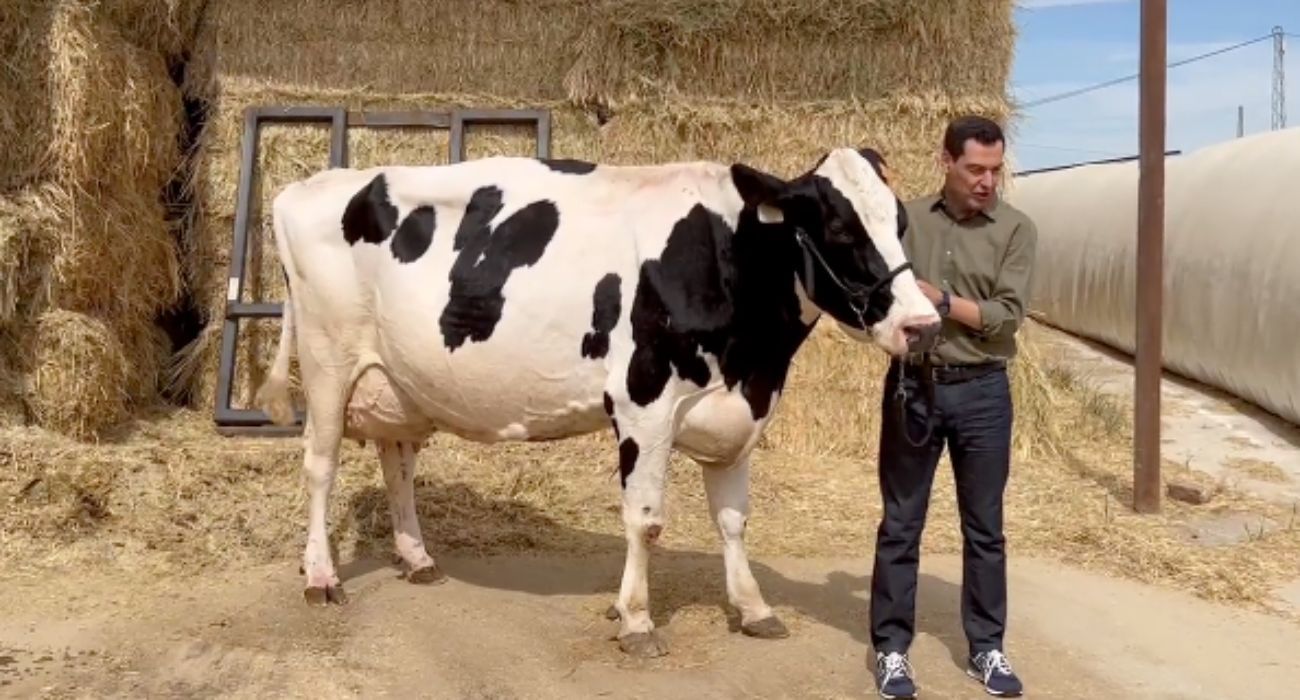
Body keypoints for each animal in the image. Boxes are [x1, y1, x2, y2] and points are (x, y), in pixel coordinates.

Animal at [253, 146, 941, 657]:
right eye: (839, 227)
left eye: (901, 221)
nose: (923, 324)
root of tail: (309, 186)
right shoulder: (644, 402)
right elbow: (646, 519)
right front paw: (635, 619)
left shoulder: (735, 409)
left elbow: (733, 520)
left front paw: (753, 608)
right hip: (327, 360)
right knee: (320, 465)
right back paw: (321, 577)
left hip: (397, 379)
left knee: (397, 462)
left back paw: (418, 558)